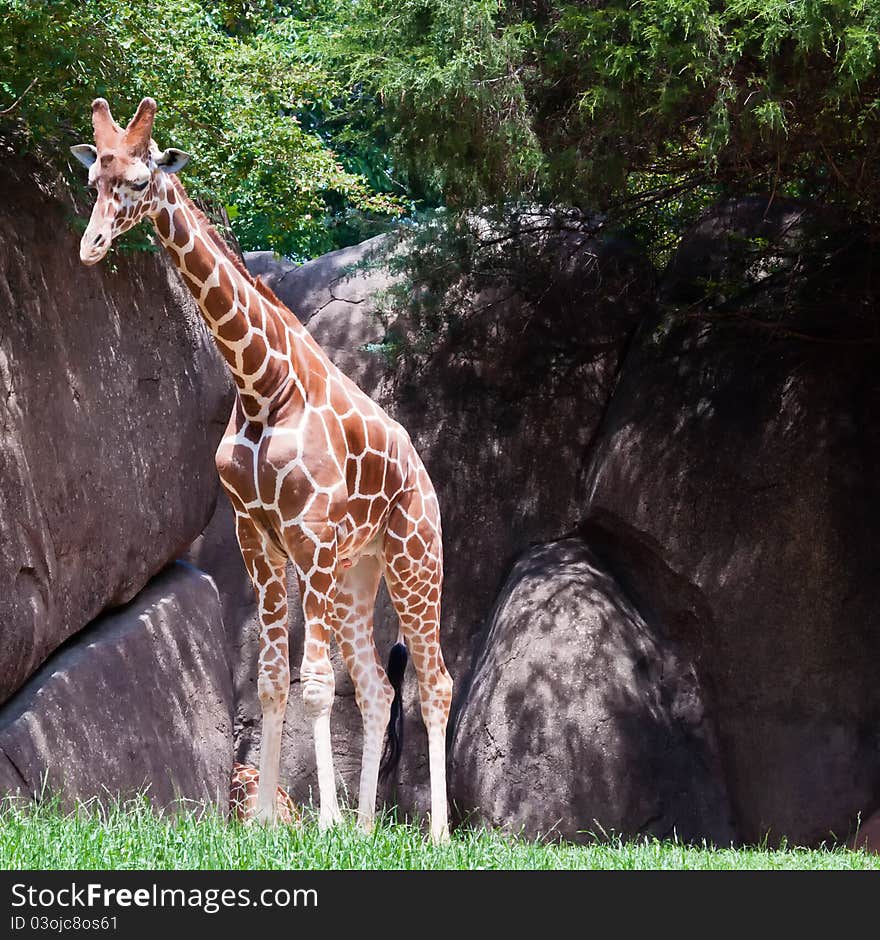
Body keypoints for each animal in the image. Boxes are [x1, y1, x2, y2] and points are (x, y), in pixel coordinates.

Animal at [69, 97, 454, 844]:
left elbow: (314, 683)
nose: (91, 246)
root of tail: (426, 479)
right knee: (377, 686)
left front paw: (322, 824)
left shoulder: (314, 538)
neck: (261, 384)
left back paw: (438, 835)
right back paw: (368, 829)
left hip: (415, 557)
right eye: (94, 180)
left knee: (435, 682)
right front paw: (267, 827)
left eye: (138, 181)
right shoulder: (260, 538)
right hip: (361, 572)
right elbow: (274, 679)